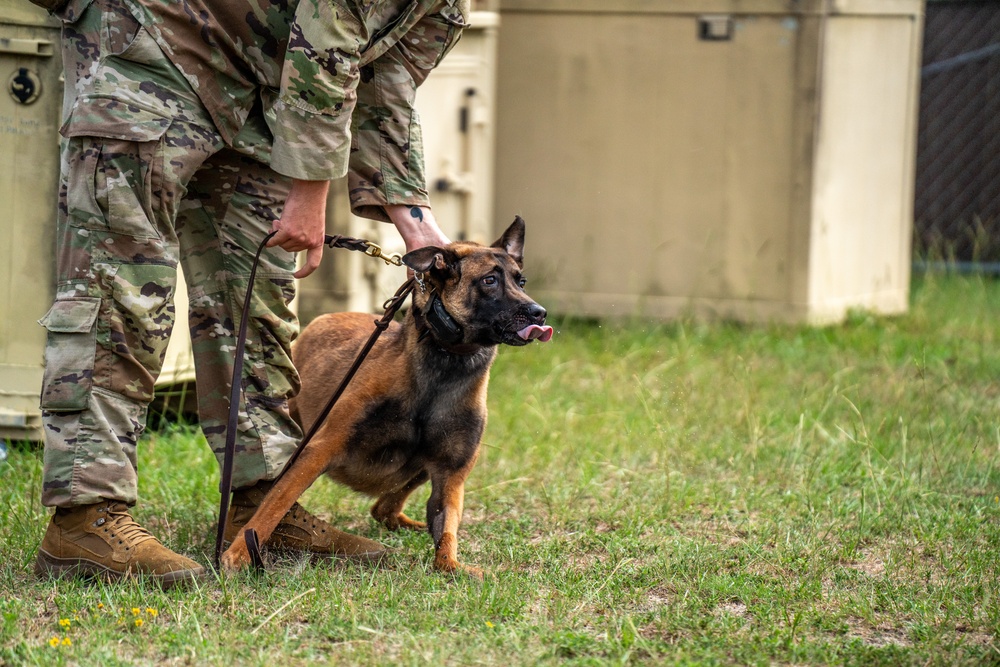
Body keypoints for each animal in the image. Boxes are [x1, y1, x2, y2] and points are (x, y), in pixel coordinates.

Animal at [219, 217, 552, 576]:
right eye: (489, 280)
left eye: (521, 280)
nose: (540, 313)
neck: (442, 370)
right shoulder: (319, 449)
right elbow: (274, 504)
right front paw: (240, 552)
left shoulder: (451, 476)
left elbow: (447, 534)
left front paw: (453, 565)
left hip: (422, 469)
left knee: (383, 508)